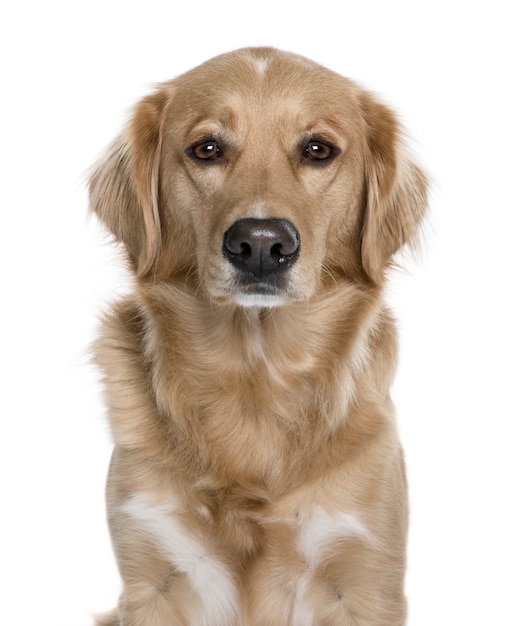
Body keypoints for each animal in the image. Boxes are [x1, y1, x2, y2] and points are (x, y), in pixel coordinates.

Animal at [89, 46, 426, 620]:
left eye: (318, 149)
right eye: (206, 149)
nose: (262, 244)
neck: (255, 381)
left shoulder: (364, 577)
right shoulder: (153, 577)